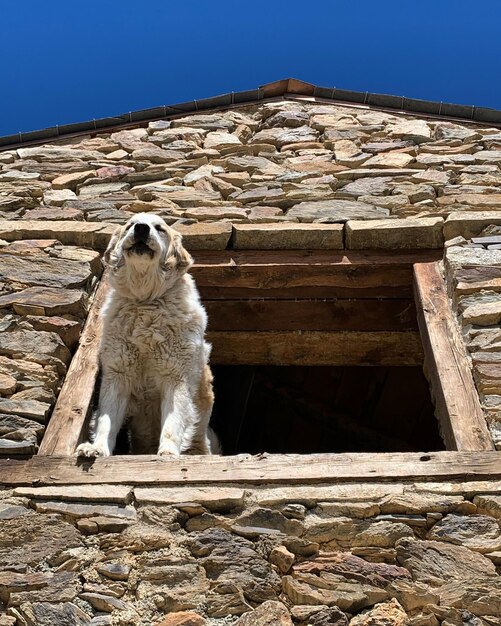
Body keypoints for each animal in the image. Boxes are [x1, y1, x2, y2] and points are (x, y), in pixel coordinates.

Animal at [76, 212, 215, 456]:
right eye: (130, 225)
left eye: (159, 228)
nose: (141, 228)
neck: (145, 301)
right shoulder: (118, 373)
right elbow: (106, 420)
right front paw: (98, 449)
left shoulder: (176, 375)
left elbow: (173, 422)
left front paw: (168, 453)